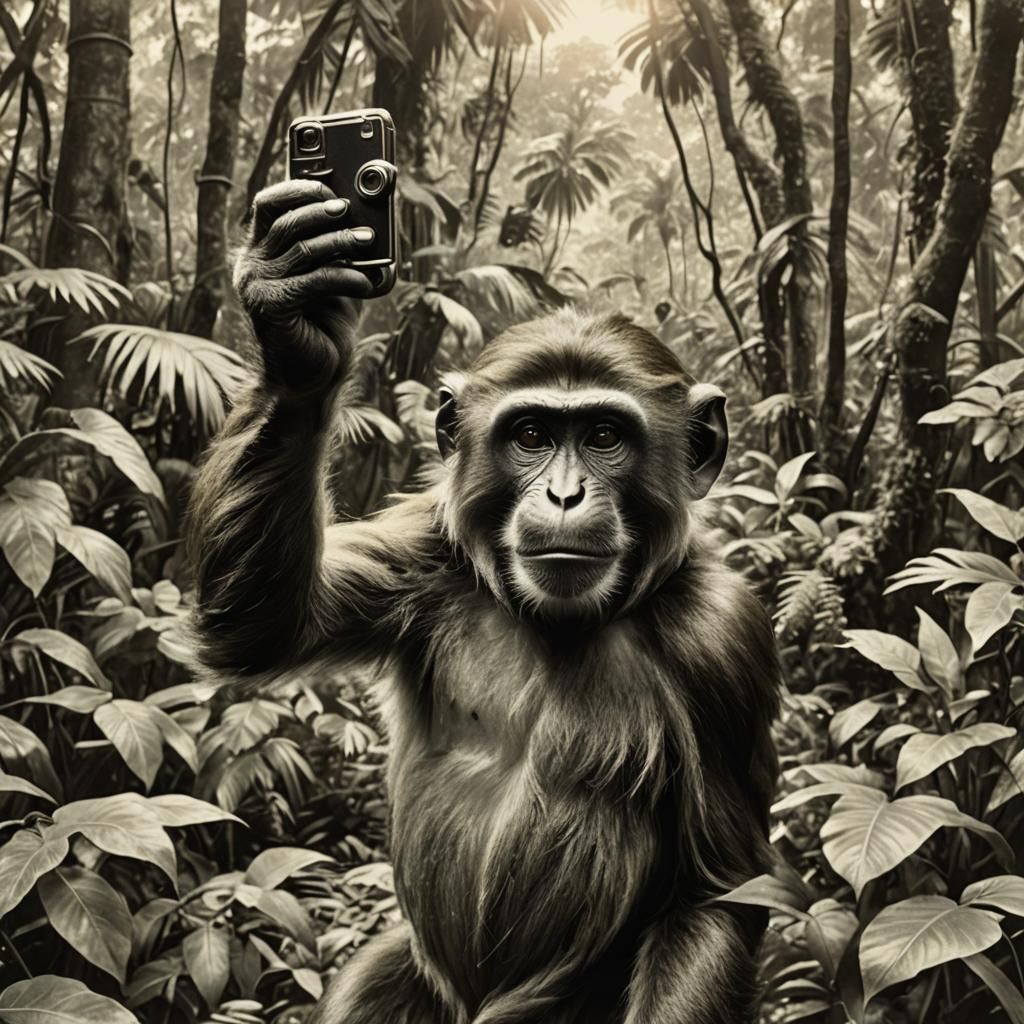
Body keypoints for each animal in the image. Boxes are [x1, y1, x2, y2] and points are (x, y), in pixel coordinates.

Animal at [188, 179, 780, 1024]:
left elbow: (716, 893)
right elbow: (262, 627)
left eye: (605, 437)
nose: (564, 495)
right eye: (530, 434)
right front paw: (294, 316)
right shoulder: (427, 551)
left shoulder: (724, 641)